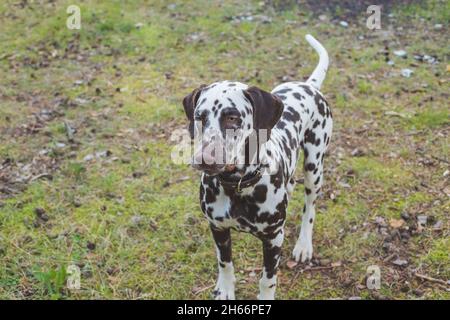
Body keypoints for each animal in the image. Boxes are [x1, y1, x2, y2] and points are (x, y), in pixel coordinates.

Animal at [181, 35, 332, 300]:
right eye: (199, 117)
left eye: (232, 117)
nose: (204, 159)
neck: (237, 186)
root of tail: (308, 85)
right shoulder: (218, 228)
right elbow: (225, 263)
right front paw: (225, 290)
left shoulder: (273, 240)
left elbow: (267, 280)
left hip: (315, 167)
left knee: (310, 207)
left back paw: (304, 244)